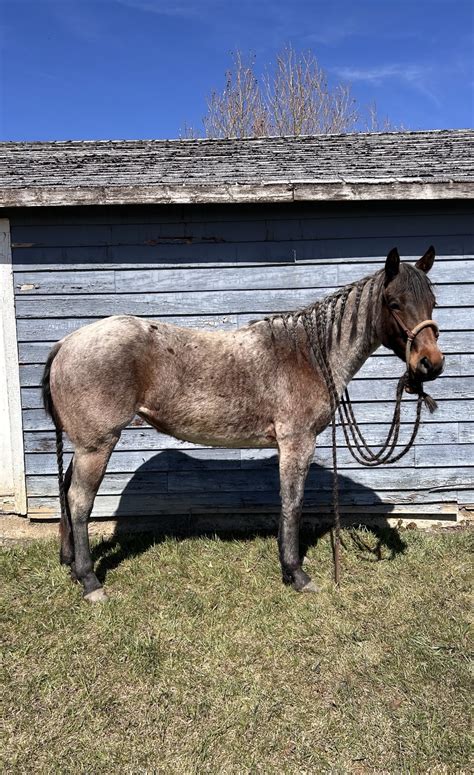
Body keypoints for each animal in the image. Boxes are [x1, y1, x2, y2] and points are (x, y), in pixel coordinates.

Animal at [42, 246, 444, 602]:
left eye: (433, 302)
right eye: (394, 303)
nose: (431, 364)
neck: (307, 353)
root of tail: (66, 342)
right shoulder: (297, 441)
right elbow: (292, 502)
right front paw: (296, 574)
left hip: (85, 445)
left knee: (67, 491)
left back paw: (71, 565)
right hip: (97, 444)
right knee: (79, 501)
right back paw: (90, 581)